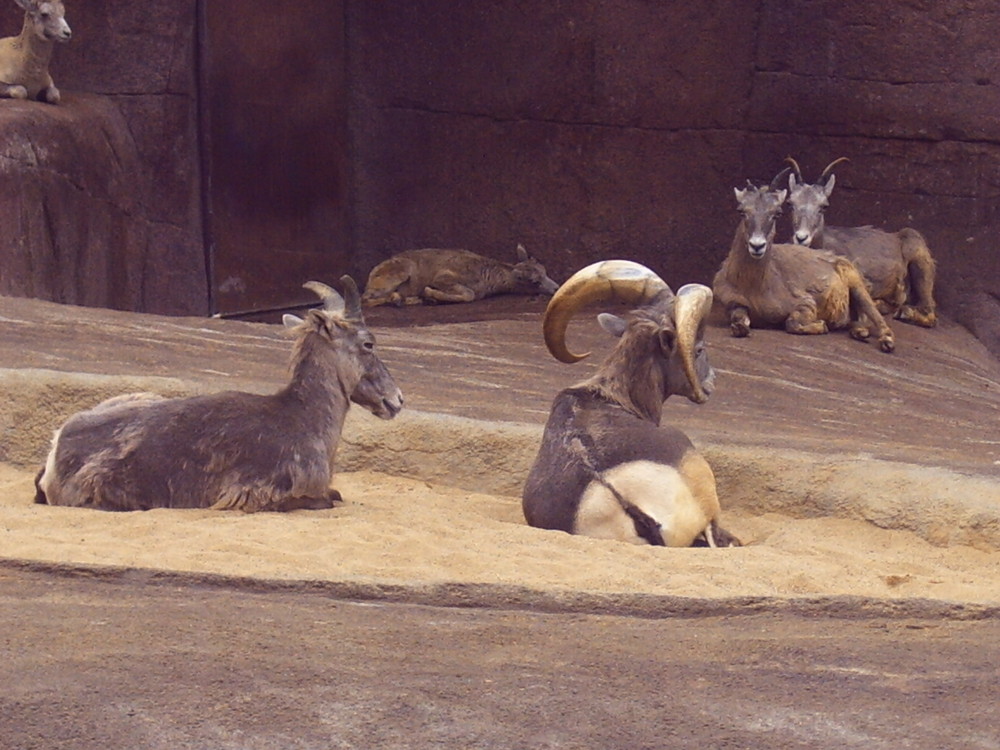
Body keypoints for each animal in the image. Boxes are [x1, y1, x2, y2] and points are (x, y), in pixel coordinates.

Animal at [35, 280, 402, 516]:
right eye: (369, 343)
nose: (396, 400)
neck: (303, 420)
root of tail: (58, 448)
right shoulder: (256, 497)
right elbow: (327, 499)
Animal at [362, 245, 564, 306]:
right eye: (535, 281)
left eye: (545, 271)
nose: (556, 288)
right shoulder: (444, 278)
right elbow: (468, 294)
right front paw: (429, 294)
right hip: (400, 273)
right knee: (367, 299)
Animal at [712, 178, 900, 354]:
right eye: (741, 211)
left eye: (777, 213)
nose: (757, 245)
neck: (754, 287)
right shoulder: (735, 305)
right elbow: (739, 325)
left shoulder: (805, 303)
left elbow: (791, 323)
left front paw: (822, 325)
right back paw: (859, 331)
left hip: (858, 287)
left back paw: (886, 341)